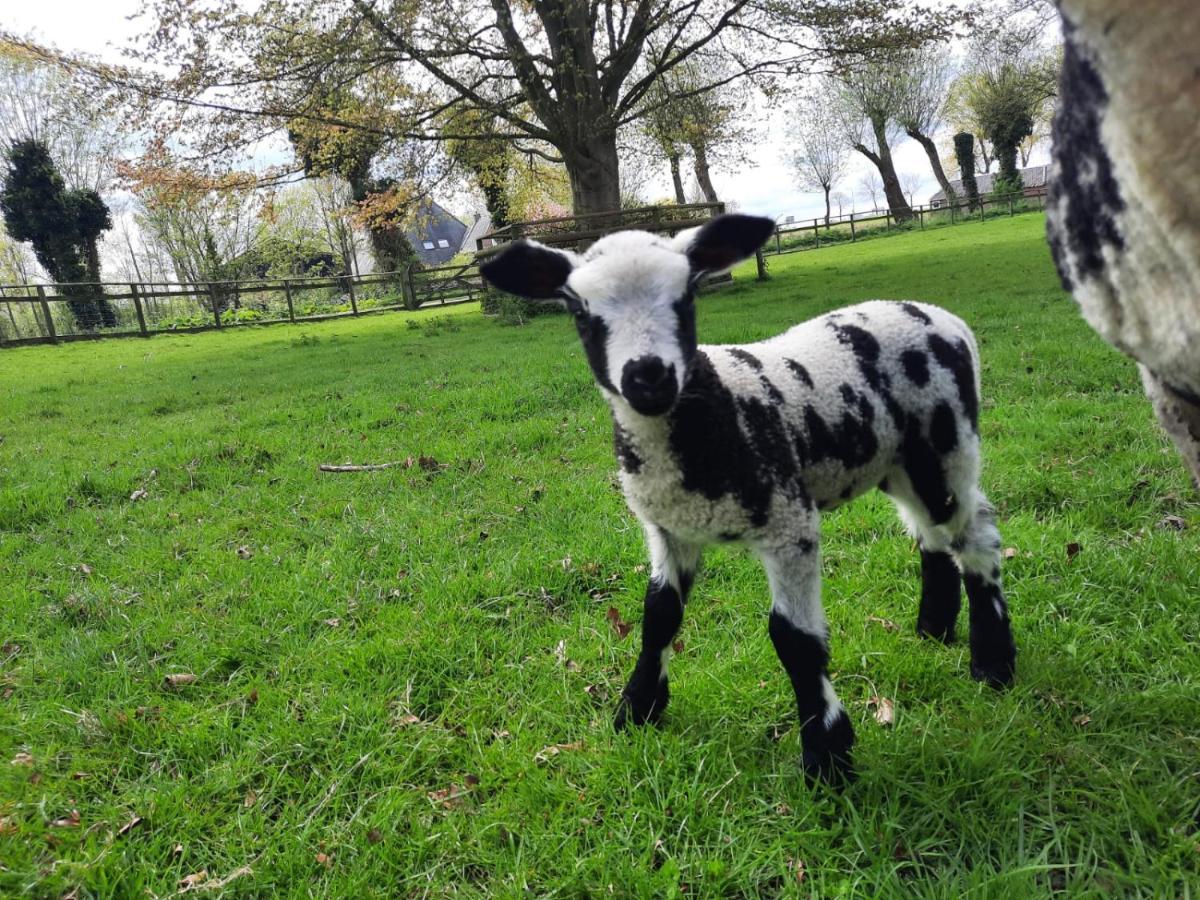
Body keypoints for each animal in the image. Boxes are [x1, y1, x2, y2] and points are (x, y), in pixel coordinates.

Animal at [477, 217, 1012, 782]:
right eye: (580, 312)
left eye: (686, 296)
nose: (648, 375)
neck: (711, 410)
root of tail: (943, 317)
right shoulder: (669, 529)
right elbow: (658, 616)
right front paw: (637, 709)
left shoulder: (790, 525)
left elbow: (794, 639)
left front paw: (827, 754)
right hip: (897, 460)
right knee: (931, 534)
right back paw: (933, 629)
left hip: (946, 441)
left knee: (975, 536)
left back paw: (992, 663)